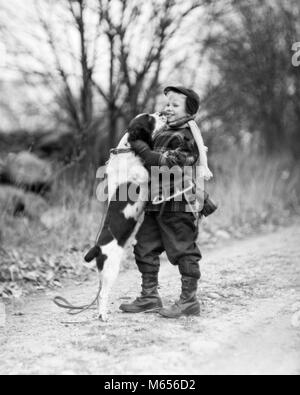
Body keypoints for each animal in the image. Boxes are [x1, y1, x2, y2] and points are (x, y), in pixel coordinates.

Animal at [84, 112, 166, 322]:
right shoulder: (145, 177)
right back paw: (104, 316)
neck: (127, 150)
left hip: (104, 272)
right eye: (150, 119)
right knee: (103, 294)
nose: (162, 113)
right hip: (112, 269)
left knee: (99, 294)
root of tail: (97, 248)